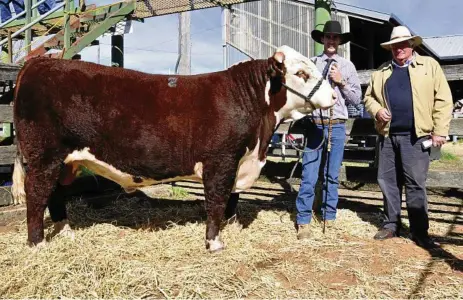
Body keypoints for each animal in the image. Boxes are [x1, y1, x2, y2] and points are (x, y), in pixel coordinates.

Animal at [11, 45, 338, 251]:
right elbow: (217, 201)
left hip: (64, 161)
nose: (335, 97)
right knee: (37, 194)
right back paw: (37, 243)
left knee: (55, 193)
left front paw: (229, 228)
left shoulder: (237, 161)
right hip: (44, 156)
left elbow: (232, 198)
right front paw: (214, 243)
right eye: (301, 74)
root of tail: (38, 63)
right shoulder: (221, 160)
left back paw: (64, 231)